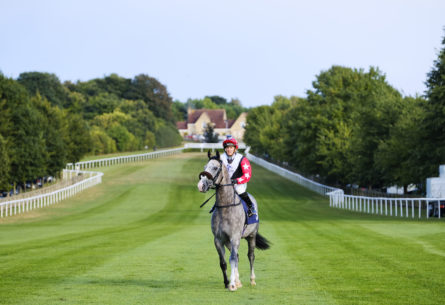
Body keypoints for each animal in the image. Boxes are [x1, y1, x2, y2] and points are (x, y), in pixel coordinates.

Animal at [196, 151, 268, 290]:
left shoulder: (235, 237)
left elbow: (232, 259)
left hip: (251, 236)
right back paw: (238, 280)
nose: (201, 186)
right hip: (228, 241)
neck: (225, 208)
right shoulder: (219, 239)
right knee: (237, 256)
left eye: (215, 168)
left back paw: (252, 280)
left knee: (250, 256)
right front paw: (227, 282)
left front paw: (233, 284)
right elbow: (223, 262)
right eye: (205, 166)